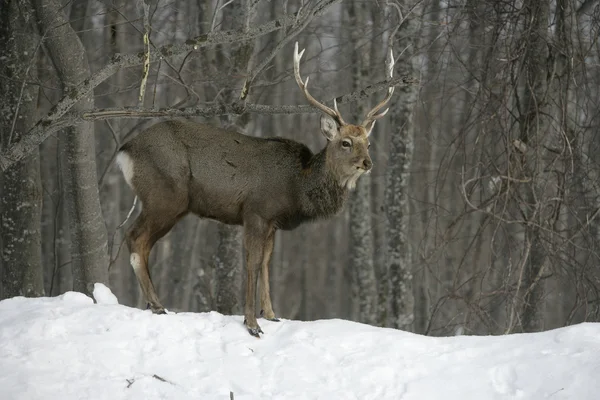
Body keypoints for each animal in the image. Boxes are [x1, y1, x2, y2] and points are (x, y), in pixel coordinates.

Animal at [118, 43, 396, 338]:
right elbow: (252, 263)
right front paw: (252, 323)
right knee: (135, 237)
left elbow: (265, 264)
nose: (367, 163)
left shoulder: (272, 222)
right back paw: (158, 304)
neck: (296, 185)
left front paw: (271, 314)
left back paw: (154, 303)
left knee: (142, 243)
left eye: (367, 142)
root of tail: (125, 152)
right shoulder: (255, 212)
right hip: (164, 197)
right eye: (345, 143)